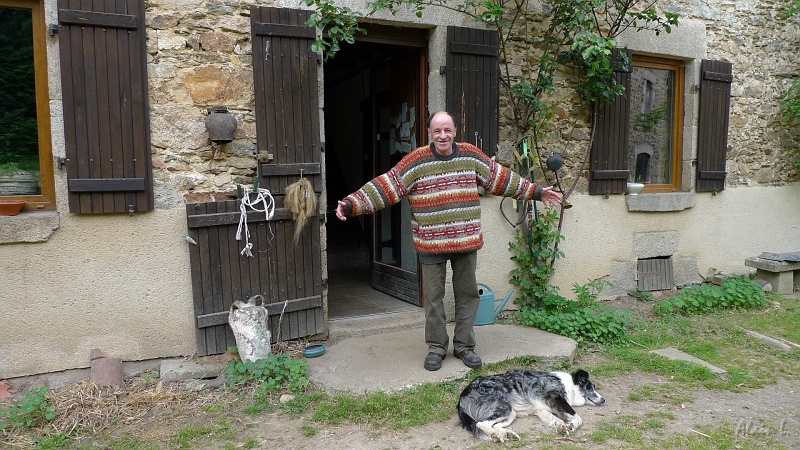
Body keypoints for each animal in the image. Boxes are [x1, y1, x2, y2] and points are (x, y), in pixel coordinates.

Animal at [460, 370, 604, 442]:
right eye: (591, 388)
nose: (603, 400)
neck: (569, 384)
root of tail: (462, 396)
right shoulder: (557, 399)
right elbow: (578, 417)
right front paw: (571, 425)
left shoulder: (542, 410)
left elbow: (556, 420)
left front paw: (563, 427)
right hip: (505, 407)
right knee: (481, 424)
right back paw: (497, 436)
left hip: (511, 414)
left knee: (493, 425)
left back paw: (507, 434)